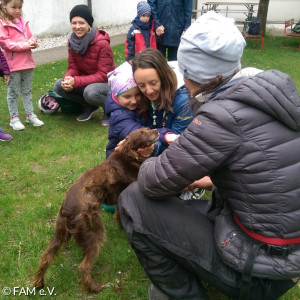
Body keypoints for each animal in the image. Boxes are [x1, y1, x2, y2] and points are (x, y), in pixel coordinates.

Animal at [33, 128, 159, 292]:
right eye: (142, 133)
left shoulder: (119, 196)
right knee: (84, 266)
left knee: (45, 257)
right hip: (95, 231)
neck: (128, 157)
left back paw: (39, 283)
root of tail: (67, 209)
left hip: (59, 233)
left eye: (147, 128)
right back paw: (95, 288)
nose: (156, 130)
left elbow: (118, 214)